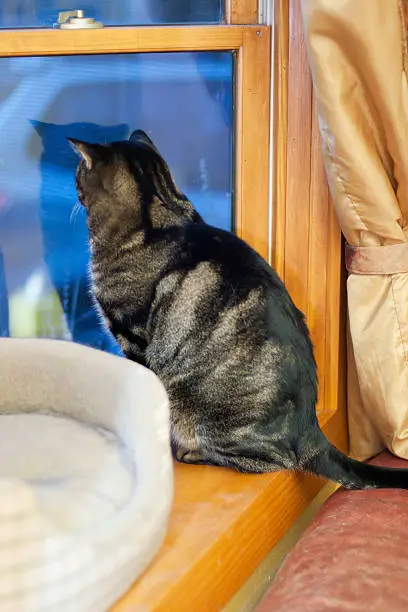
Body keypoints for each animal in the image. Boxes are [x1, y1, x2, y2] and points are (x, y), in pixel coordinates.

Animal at [70, 131, 408, 490]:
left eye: (78, 172)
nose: (73, 186)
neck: (158, 212)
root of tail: (311, 427)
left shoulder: (132, 337)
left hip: (207, 414)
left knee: (275, 461)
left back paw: (191, 453)